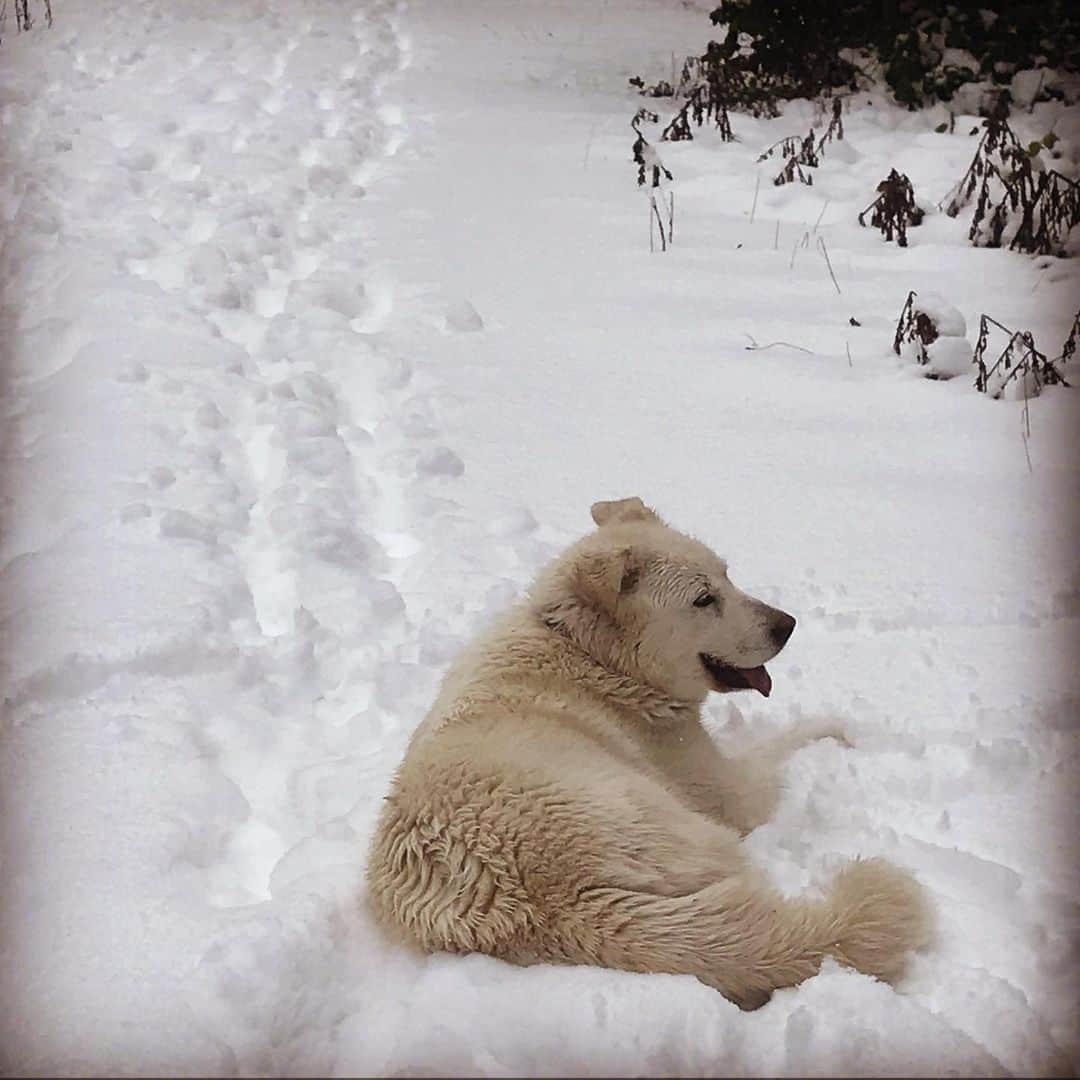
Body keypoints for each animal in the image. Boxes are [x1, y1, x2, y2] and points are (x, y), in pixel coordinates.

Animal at [365, 501, 928, 1006]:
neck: (593, 656)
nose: (786, 625)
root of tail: (555, 904)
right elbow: (784, 743)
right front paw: (840, 729)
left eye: (727, 576)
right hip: (701, 832)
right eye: (703, 600)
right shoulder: (731, 789)